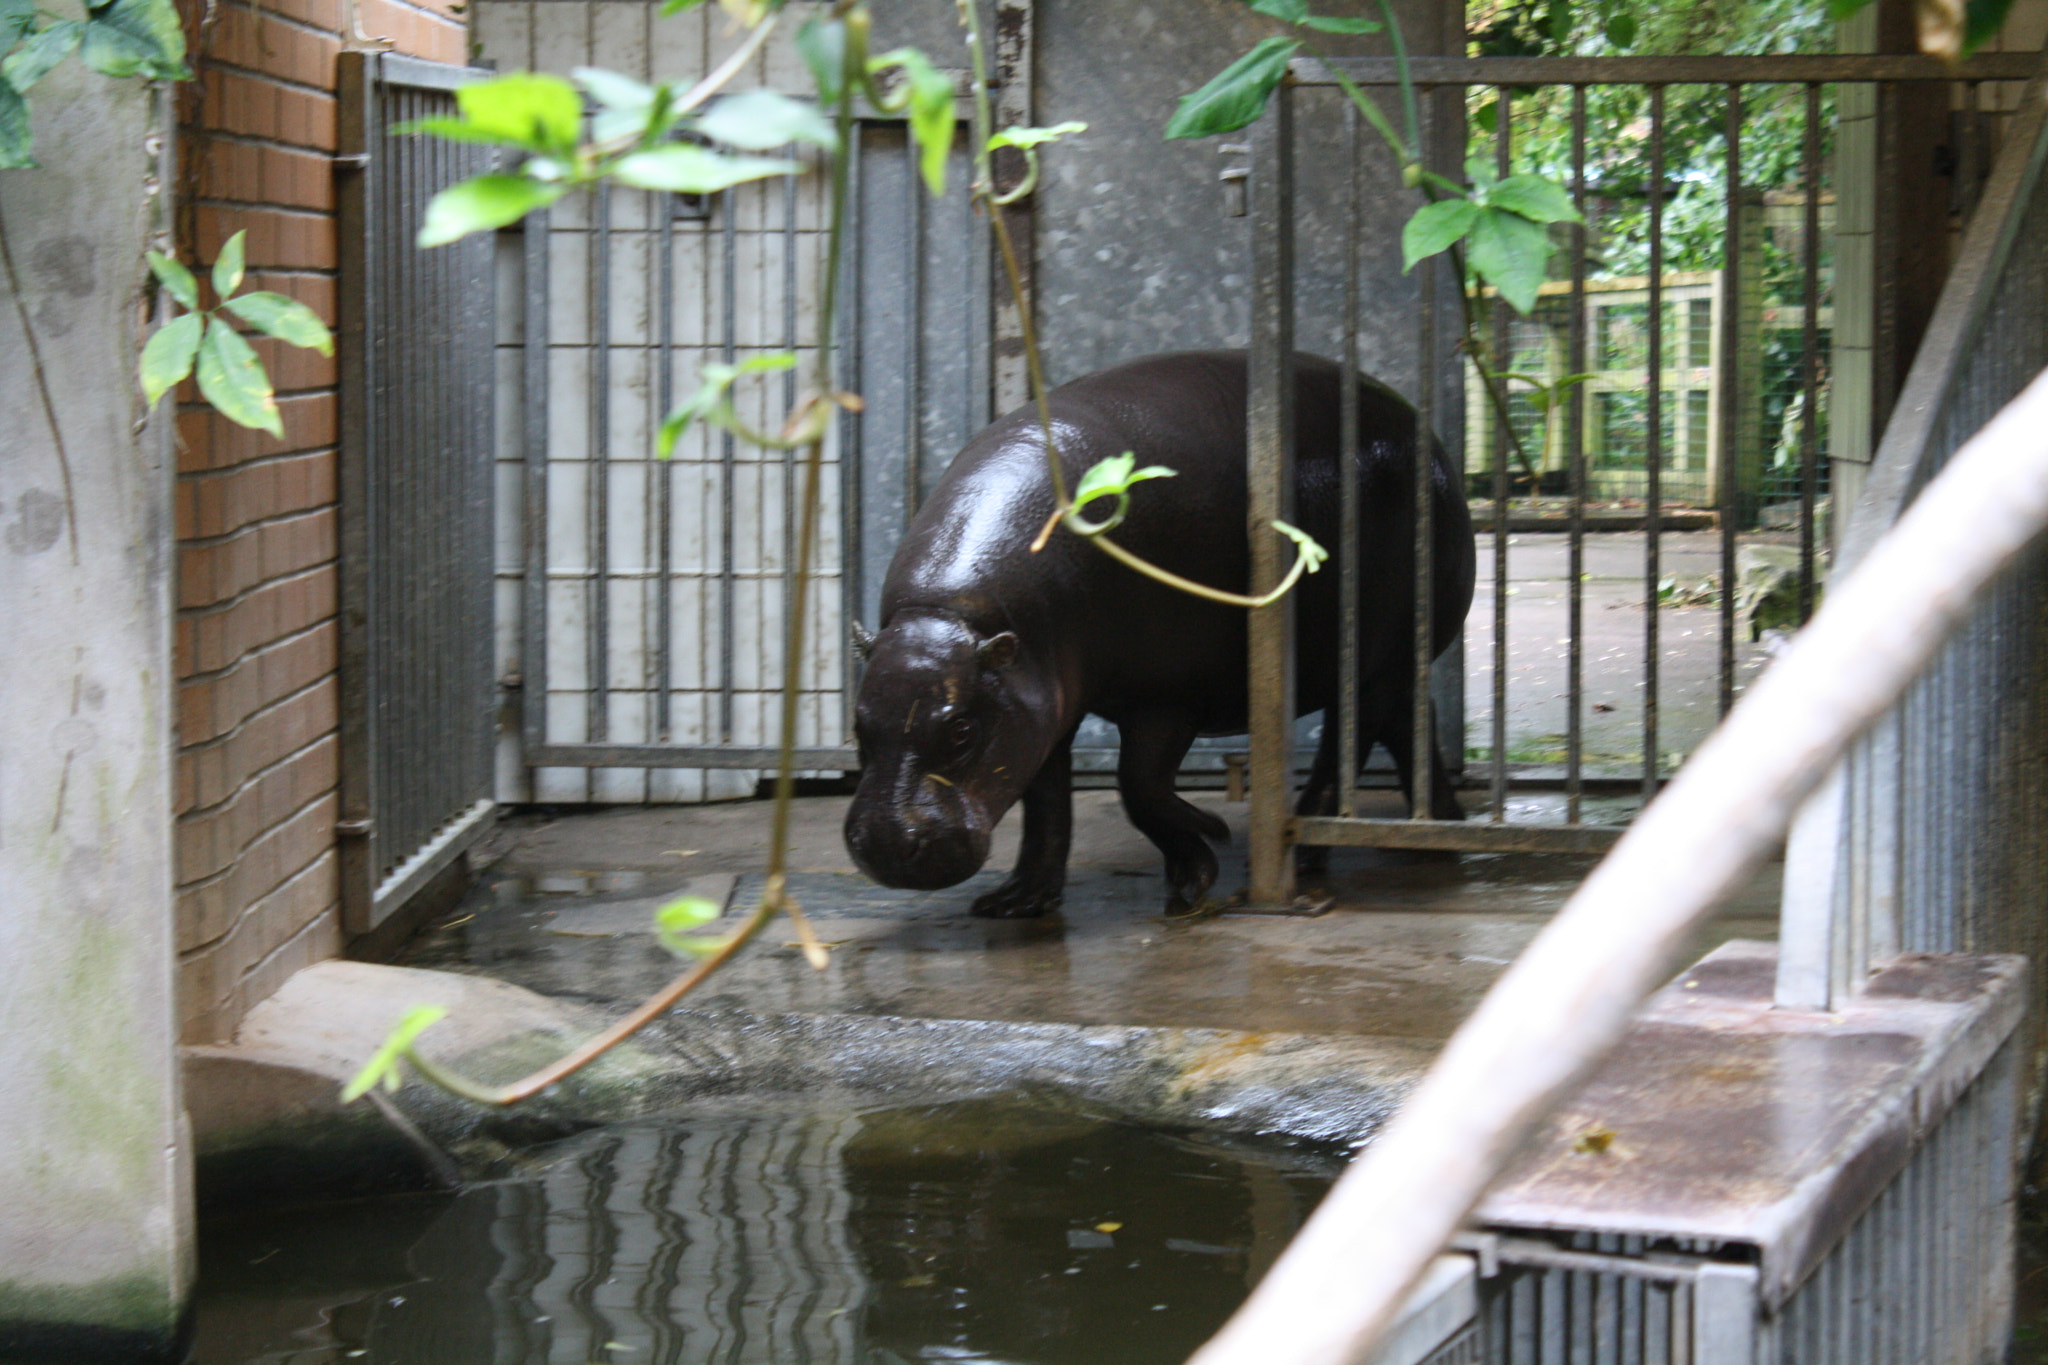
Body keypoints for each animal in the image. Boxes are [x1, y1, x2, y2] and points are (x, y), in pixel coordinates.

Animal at [844, 350, 1475, 916]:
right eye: (857, 725)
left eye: (960, 731)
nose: (886, 844)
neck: (953, 614)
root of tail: (1429, 439)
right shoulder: (1035, 706)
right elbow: (1047, 805)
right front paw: (1016, 903)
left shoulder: (1163, 698)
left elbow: (1139, 789)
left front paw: (1199, 867)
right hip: (1396, 664)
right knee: (1410, 724)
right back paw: (1437, 836)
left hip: (1372, 658)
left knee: (1352, 738)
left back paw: (1307, 851)